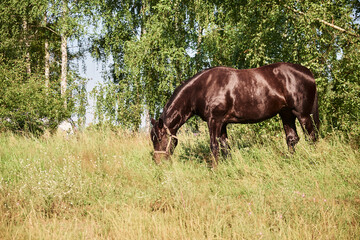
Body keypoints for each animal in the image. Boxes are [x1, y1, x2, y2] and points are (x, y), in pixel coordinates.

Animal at [150, 62, 320, 166]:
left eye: (159, 138)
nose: (158, 161)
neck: (201, 88)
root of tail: (309, 74)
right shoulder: (223, 123)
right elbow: (225, 146)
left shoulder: (214, 121)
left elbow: (214, 145)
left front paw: (215, 169)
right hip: (286, 114)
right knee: (292, 138)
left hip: (302, 114)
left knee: (312, 137)